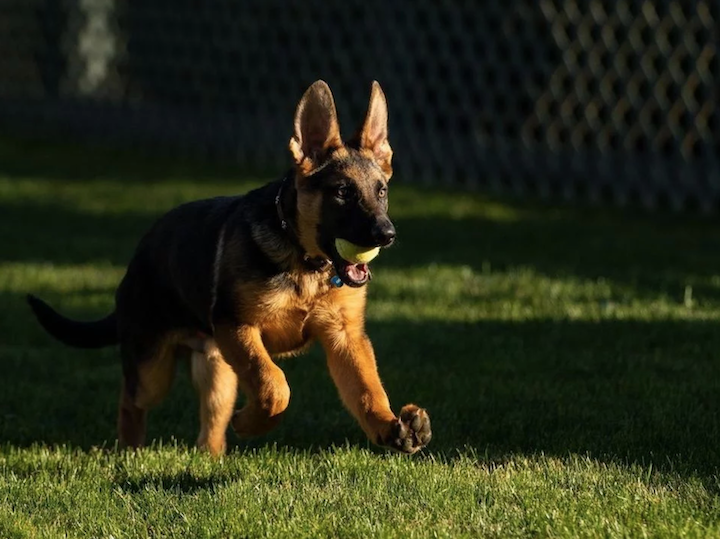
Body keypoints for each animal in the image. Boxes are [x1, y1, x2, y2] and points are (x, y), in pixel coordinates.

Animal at [28, 81, 430, 456]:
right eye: (343, 192)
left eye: (381, 191)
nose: (387, 235)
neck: (305, 263)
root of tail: (140, 254)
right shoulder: (238, 327)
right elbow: (274, 383)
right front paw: (252, 423)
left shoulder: (344, 337)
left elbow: (367, 389)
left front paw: (391, 427)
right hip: (153, 369)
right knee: (131, 399)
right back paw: (130, 450)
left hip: (217, 369)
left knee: (211, 420)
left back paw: (211, 456)